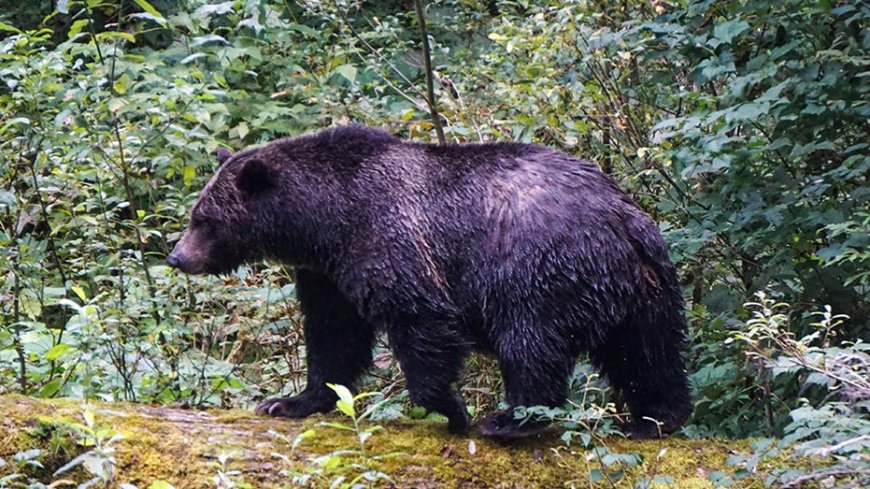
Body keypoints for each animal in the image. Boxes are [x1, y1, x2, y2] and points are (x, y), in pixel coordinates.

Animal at [167, 124, 692, 439]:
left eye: (205, 220)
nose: (177, 257)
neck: (325, 221)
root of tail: (622, 216)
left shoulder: (390, 240)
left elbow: (420, 320)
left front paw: (452, 409)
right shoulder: (327, 274)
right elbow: (334, 339)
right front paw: (290, 401)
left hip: (538, 270)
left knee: (531, 344)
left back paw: (508, 419)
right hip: (645, 287)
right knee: (650, 352)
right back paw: (655, 419)